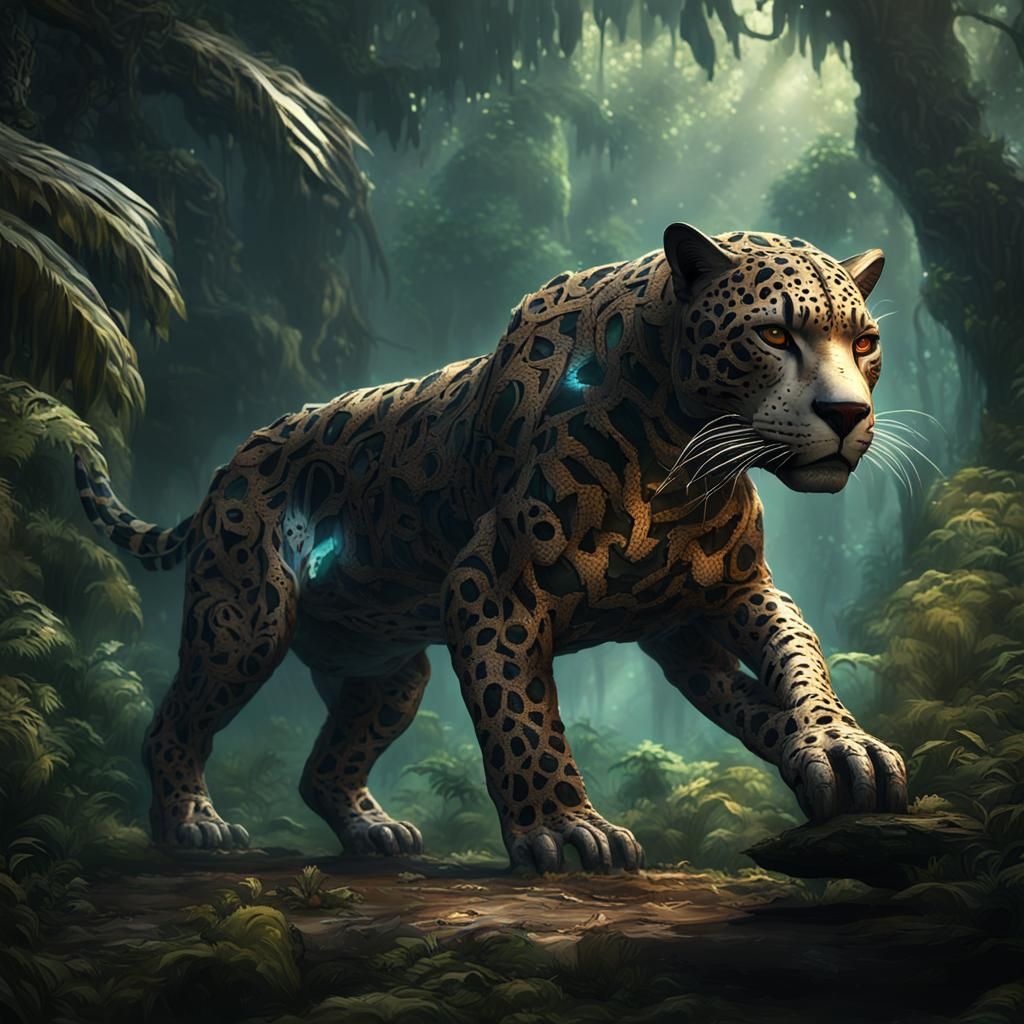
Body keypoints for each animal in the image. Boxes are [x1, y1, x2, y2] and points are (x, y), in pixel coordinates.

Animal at [75, 223, 908, 873]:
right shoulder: (495, 586)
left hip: (387, 677)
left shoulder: (722, 602)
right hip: (245, 622)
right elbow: (523, 718)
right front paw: (567, 831)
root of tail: (230, 462)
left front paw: (842, 751)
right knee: (172, 724)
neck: (679, 459)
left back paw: (375, 832)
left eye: (865, 342)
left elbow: (797, 662)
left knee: (322, 769)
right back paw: (193, 825)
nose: (846, 413)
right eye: (774, 334)